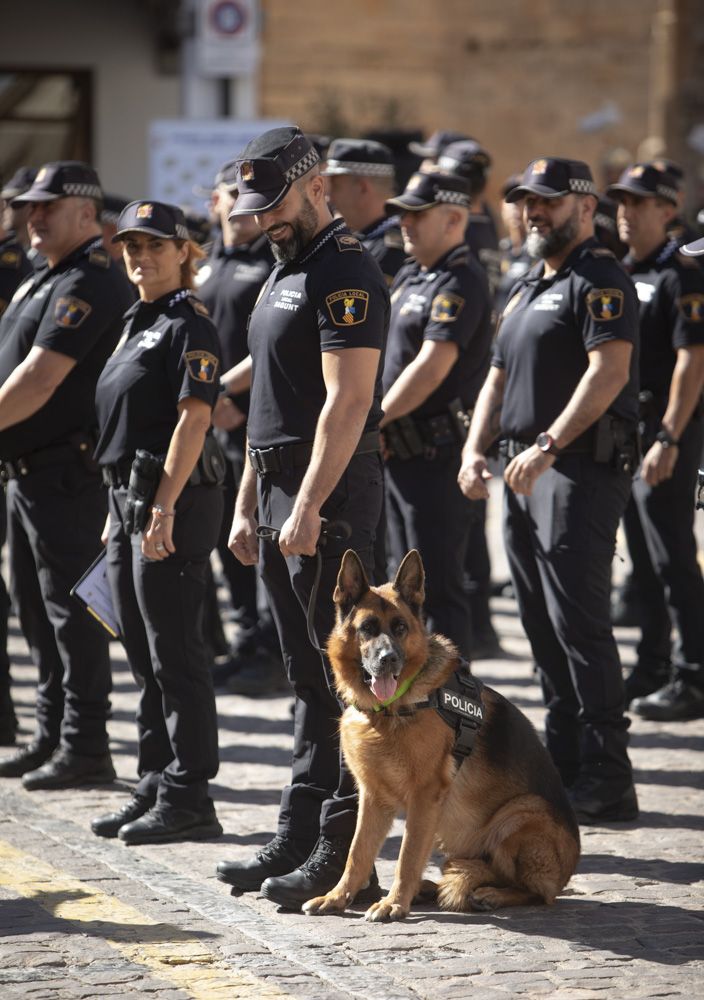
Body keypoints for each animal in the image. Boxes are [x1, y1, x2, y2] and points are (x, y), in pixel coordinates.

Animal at [304, 548, 584, 920]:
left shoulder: (425, 797)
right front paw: (337, 897)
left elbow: (407, 856)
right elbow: (357, 852)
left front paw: (394, 903)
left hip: (520, 812)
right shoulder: (373, 797)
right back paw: (432, 888)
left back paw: (491, 895)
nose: (388, 659)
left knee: (539, 892)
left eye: (400, 627)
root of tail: (568, 870)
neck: (392, 708)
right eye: (367, 628)